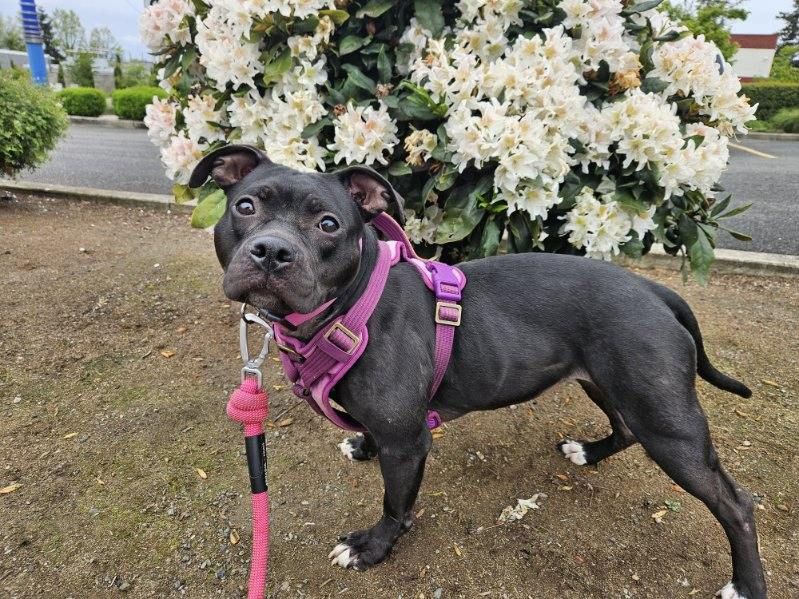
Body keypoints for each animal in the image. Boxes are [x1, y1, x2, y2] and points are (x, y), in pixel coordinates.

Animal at [189, 146, 768, 599]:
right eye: (245, 206)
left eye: (328, 224)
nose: (272, 251)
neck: (348, 308)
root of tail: (655, 289)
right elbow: (372, 441)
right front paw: (361, 445)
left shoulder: (408, 442)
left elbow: (395, 502)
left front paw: (373, 547)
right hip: (609, 383)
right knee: (624, 427)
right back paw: (589, 452)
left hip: (667, 423)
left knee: (736, 504)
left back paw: (746, 584)